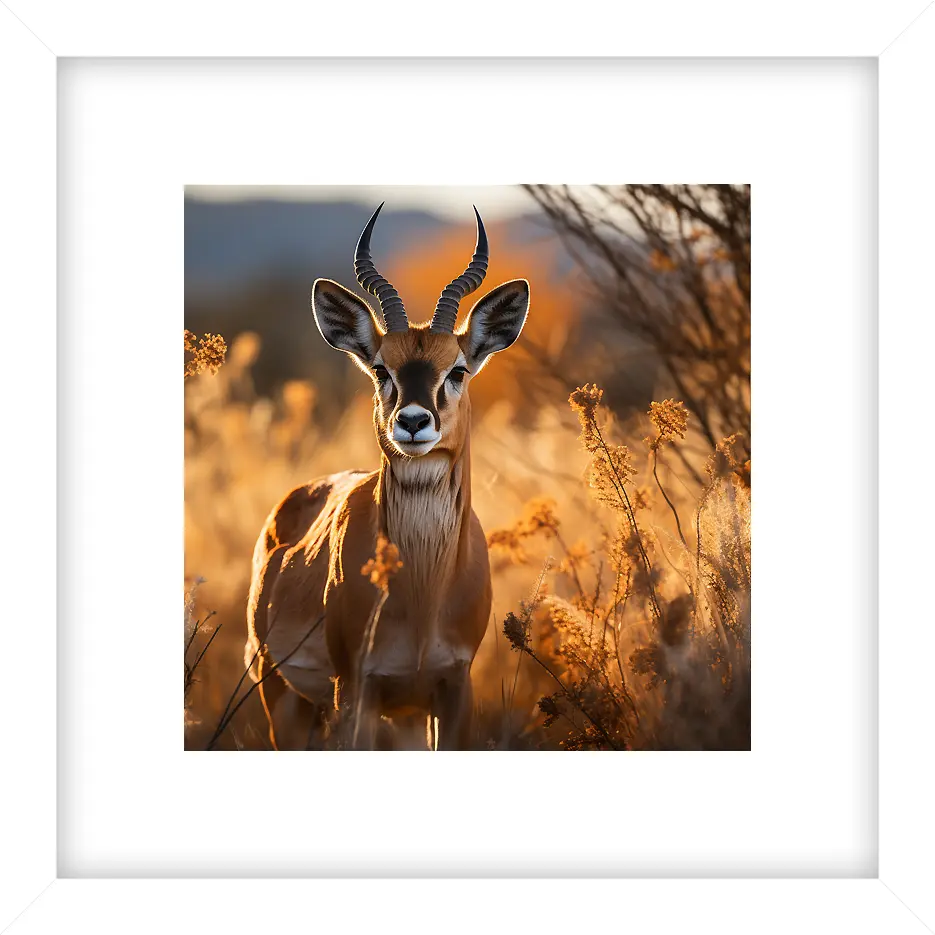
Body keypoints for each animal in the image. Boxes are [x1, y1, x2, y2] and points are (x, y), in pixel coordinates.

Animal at [245, 204, 530, 750]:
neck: (421, 596)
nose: (413, 422)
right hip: (282, 697)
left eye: (457, 369)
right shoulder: (355, 689)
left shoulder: (453, 686)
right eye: (381, 369)